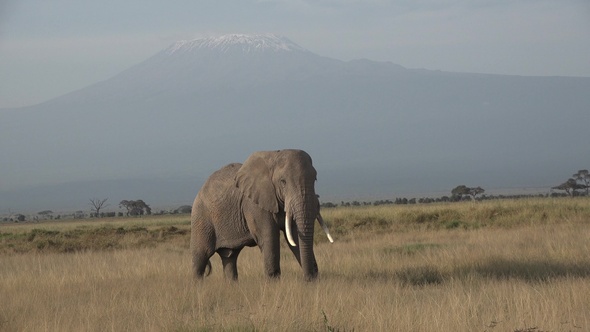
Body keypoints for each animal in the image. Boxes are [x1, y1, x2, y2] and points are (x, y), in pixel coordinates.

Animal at [192, 149, 336, 282]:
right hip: (201, 217)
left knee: (229, 257)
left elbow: (294, 236)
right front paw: (273, 284)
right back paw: (197, 287)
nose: (308, 279)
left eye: (315, 179)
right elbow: (269, 237)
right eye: (283, 181)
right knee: (201, 256)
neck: (274, 157)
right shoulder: (254, 204)